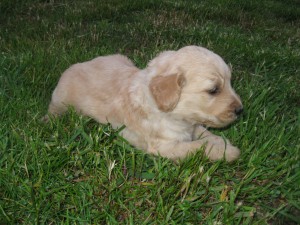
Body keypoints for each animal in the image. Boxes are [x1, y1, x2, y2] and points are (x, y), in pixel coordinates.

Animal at [45, 45, 244, 162]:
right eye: (214, 90)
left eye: (230, 82)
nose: (240, 110)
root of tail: (78, 63)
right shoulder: (164, 146)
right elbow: (198, 147)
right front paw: (228, 152)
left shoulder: (192, 125)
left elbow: (205, 133)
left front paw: (223, 143)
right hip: (62, 98)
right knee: (54, 108)